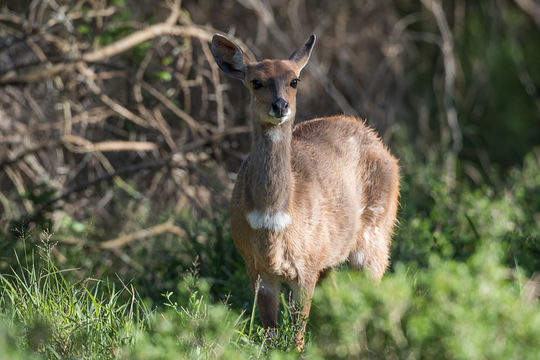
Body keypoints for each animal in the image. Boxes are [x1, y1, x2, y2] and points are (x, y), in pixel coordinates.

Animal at [209, 32, 398, 348]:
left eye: (294, 80)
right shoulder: (258, 270)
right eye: (256, 81)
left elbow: (296, 334)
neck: (274, 217)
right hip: (332, 262)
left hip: (375, 239)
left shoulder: (305, 268)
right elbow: (271, 333)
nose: (280, 106)